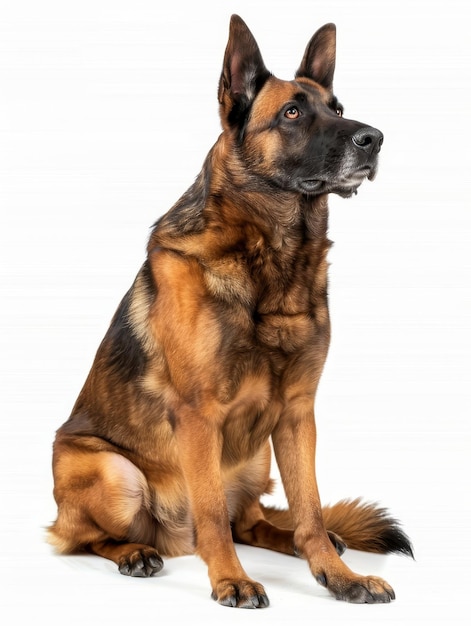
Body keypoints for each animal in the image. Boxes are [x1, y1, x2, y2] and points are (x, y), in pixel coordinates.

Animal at [48, 14, 412, 608]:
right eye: (292, 113)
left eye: (338, 108)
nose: (374, 138)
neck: (275, 254)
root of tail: (167, 536)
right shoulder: (199, 416)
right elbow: (212, 515)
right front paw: (231, 579)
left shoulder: (298, 412)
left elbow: (310, 510)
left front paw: (338, 575)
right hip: (113, 472)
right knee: (89, 537)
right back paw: (134, 552)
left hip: (257, 454)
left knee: (256, 521)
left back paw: (299, 543)